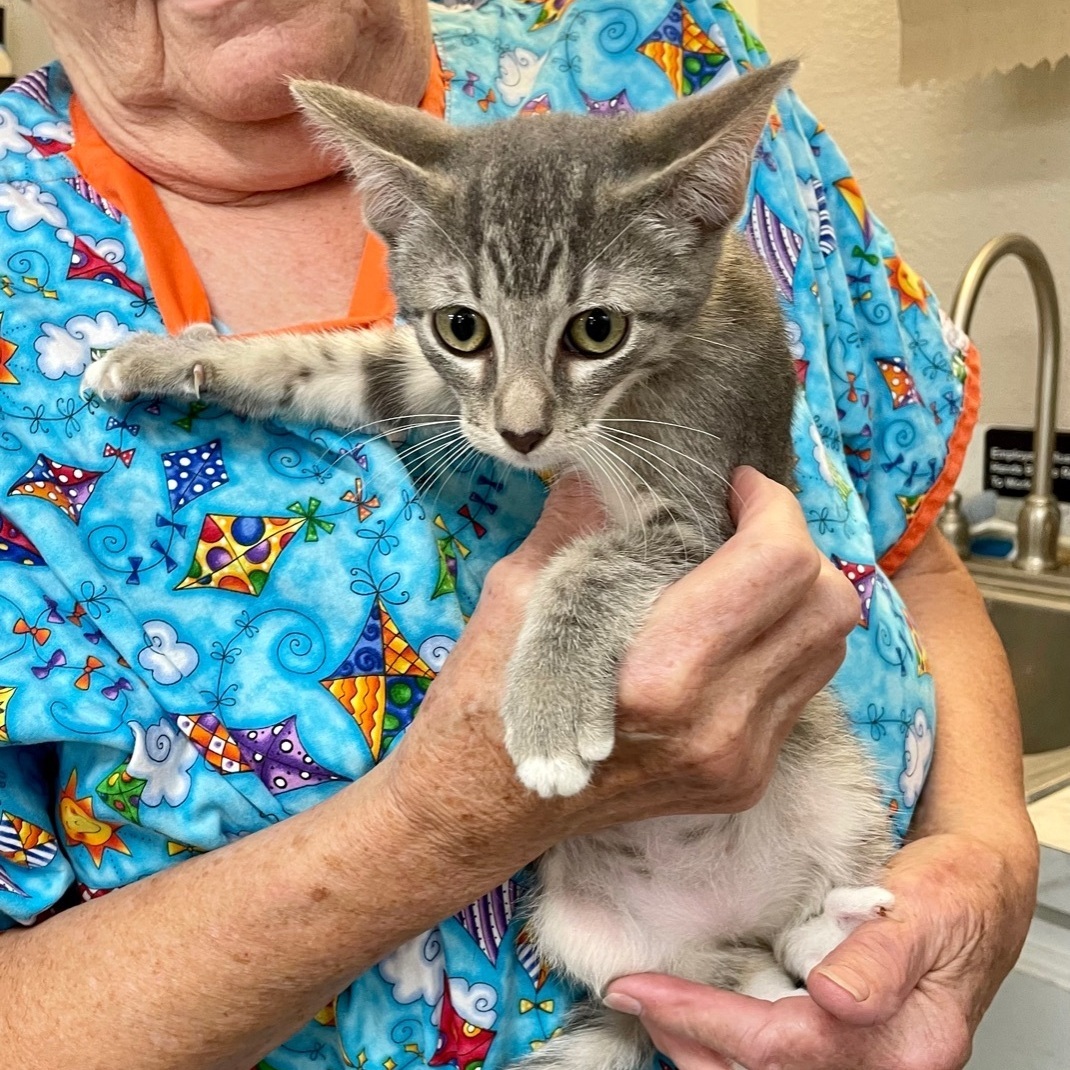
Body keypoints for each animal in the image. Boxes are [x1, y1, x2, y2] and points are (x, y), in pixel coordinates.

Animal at [87, 66, 898, 1070]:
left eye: (598, 330)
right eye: (463, 327)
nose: (521, 434)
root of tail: (720, 920)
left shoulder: (716, 514)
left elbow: (594, 564)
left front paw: (547, 708)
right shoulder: (434, 385)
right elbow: (332, 358)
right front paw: (170, 354)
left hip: (836, 786)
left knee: (798, 932)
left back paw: (838, 925)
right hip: (593, 931)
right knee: (726, 975)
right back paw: (773, 970)